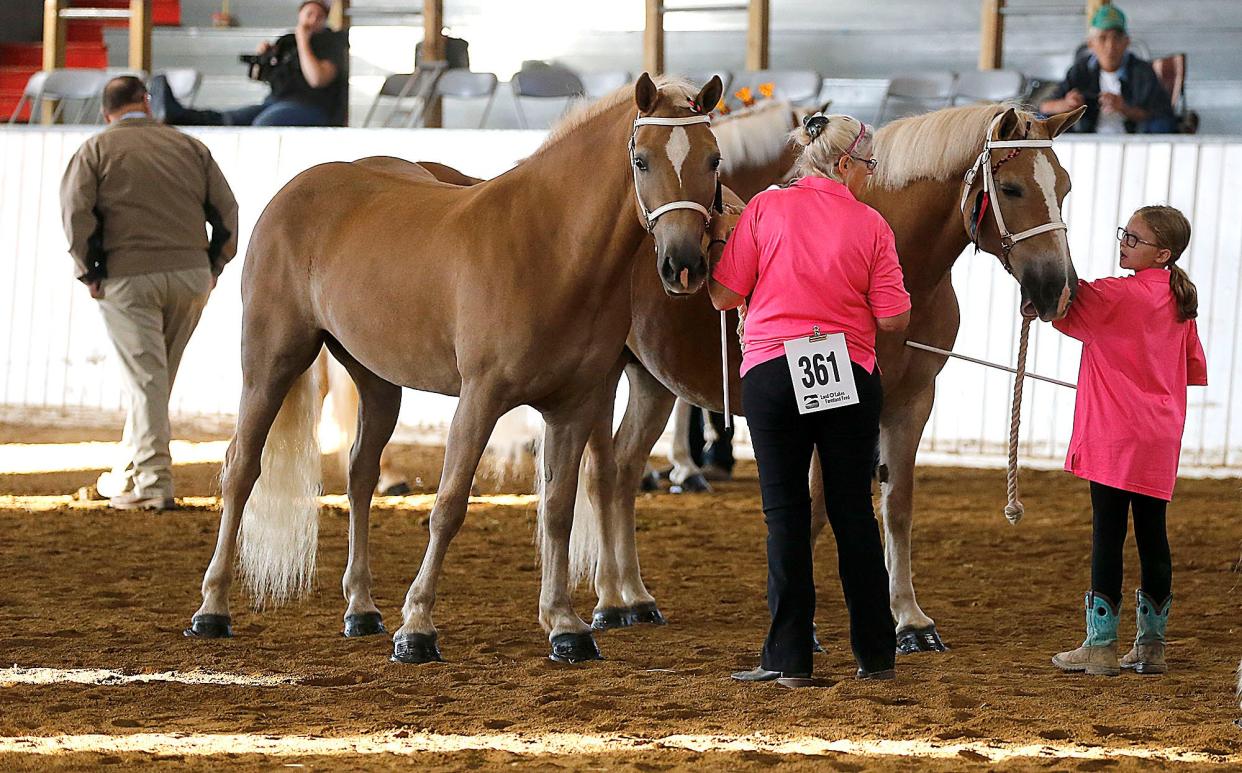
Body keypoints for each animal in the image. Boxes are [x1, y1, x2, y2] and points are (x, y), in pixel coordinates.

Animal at [185, 74, 725, 666]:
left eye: (714, 159)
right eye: (642, 159)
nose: (683, 265)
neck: (550, 246)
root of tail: (295, 190)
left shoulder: (574, 406)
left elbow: (558, 509)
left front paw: (565, 625)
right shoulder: (480, 397)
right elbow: (448, 505)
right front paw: (417, 629)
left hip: (377, 380)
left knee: (359, 474)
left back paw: (361, 609)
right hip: (271, 362)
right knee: (241, 468)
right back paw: (212, 609)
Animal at [571, 104, 1087, 646]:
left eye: (1066, 185)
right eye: (1011, 188)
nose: (1058, 290)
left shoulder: (912, 402)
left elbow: (897, 507)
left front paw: (910, 619)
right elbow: (816, 509)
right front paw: (807, 625)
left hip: (653, 383)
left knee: (626, 470)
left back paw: (636, 596)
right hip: (603, 380)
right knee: (600, 475)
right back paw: (608, 602)